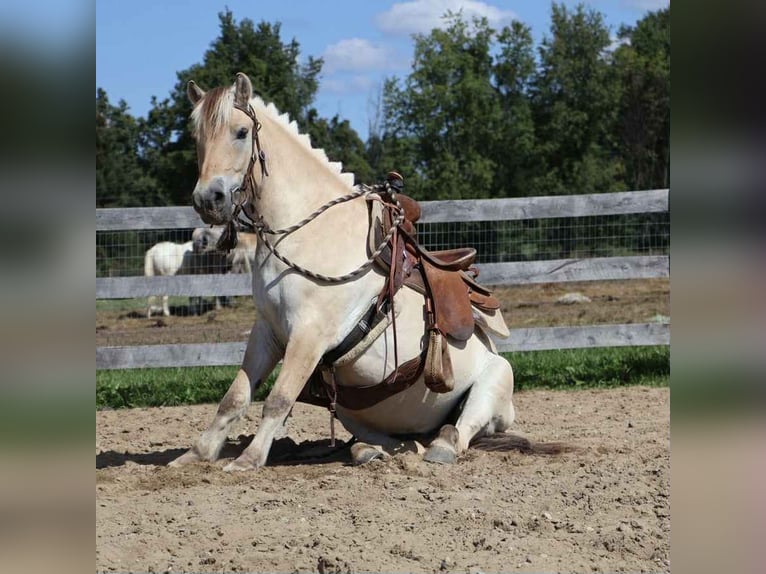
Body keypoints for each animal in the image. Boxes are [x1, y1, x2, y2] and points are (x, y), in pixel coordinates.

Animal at [170, 73, 557, 472]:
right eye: (197, 136)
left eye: (241, 132)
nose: (208, 199)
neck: (310, 233)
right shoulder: (268, 333)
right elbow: (234, 397)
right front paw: (196, 454)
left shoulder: (309, 336)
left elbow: (278, 398)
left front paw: (247, 460)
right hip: (354, 414)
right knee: (388, 441)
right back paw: (372, 451)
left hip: (495, 382)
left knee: (459, 432)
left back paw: (440, 447)